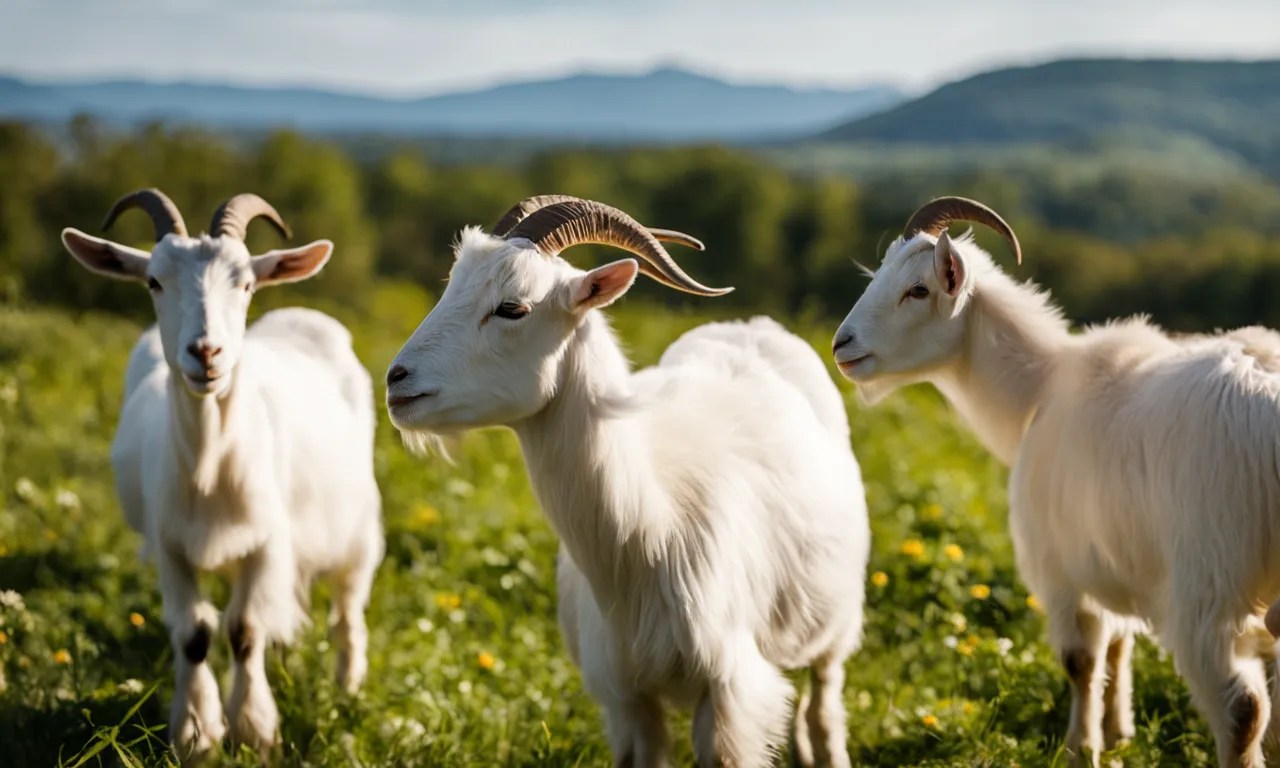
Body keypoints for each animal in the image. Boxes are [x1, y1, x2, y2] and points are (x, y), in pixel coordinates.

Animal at [61, 189, 384, 760]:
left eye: (247, 283)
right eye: (154, 281)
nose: (206, 352)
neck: (212, 468)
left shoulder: (270, 542)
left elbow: (244, 628)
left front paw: (254, 729)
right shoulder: (169, 543)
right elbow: (194, 632)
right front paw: (195, 731)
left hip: (357, 526)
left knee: (347, 609)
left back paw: (347, 687)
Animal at [386, 195, 869, 767]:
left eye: (512, 308)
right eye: (450, 287)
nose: (397, 381)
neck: (648, 532)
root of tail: (751, 324)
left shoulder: (729, 692)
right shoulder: (625, 696)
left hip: (837, 624)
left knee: (823, 706)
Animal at [833, 196, 1280, 767]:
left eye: (918, 289)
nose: (842, 345)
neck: (1040, 386)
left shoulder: (1057, 566)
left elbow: (1079, 660)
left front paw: (1080, 747)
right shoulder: (1112, 562)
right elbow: (1118, 644)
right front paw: (1118, 733)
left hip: (1210, 587)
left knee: (1242, 707)